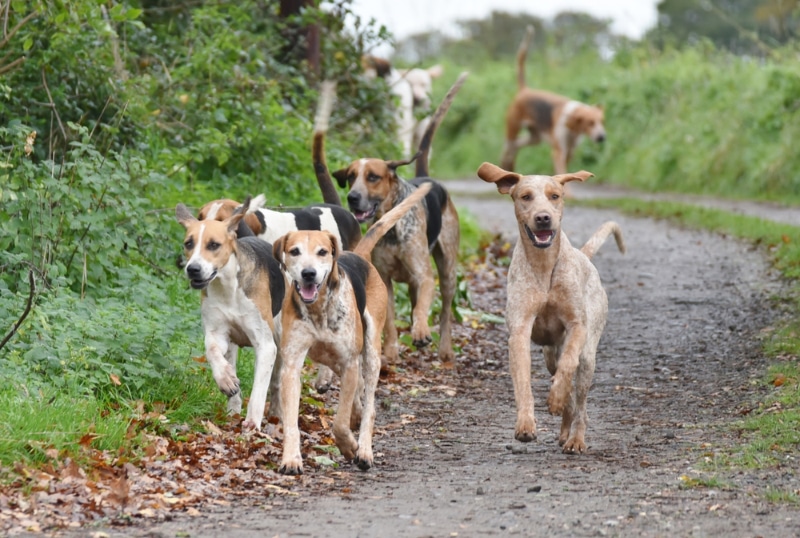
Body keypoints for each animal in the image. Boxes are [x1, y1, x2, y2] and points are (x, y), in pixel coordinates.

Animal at [177, 199, 286, 430]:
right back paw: (232, 407)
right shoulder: (217, 333)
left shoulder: (265, 345)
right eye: (189, 243)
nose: (193, 269)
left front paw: (253, 422)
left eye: (213, 245)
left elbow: (259, 388)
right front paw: (225, 380)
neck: (227, 287)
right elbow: (211, 350)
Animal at [274, 182, 434, 472]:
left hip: (371, 351)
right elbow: (291, 420)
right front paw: (291, 458)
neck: (319, 310)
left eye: (322, 252)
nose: (308, 274)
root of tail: (358, 255)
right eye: (294, 252)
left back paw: (365, 448)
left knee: (368, 402)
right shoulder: (291, 365)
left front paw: (349, 446)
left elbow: (339, 422)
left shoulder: (349, 363)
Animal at [316, 72, 468, 364]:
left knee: (444, 311)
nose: (352, 197)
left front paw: (420, 332)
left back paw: (444, 349)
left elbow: (421, 309)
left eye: (373, 177)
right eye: (350, 176)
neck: (392, 230)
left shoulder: (424, 276)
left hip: (447, 271)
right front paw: (390, 350)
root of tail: (426, 175)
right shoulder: (384, 280)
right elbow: (388, 321)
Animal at [476, 162, 624, 452]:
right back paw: (565, 428)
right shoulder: (520, 332)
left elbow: (569, 364)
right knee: (568, 393)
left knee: (581, 403)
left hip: (588, 354)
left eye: (555, 196)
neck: (544, 266)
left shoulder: (577, 327)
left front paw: (556, 398)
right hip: (548, 354)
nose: (543, 218)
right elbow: (523, 383)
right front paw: (526, 425)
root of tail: (584, 256)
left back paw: (575, 438)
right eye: (525, 197)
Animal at [500, 25, 608, 178]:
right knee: (508, 147)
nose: (602, 137)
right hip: (513, 129)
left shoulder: (569, 152)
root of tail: (524, 90)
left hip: (534, 138)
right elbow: (561, 169)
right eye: (590, 122)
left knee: (516, 146)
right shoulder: (558, 152)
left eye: (602, 121)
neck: (573, 128)